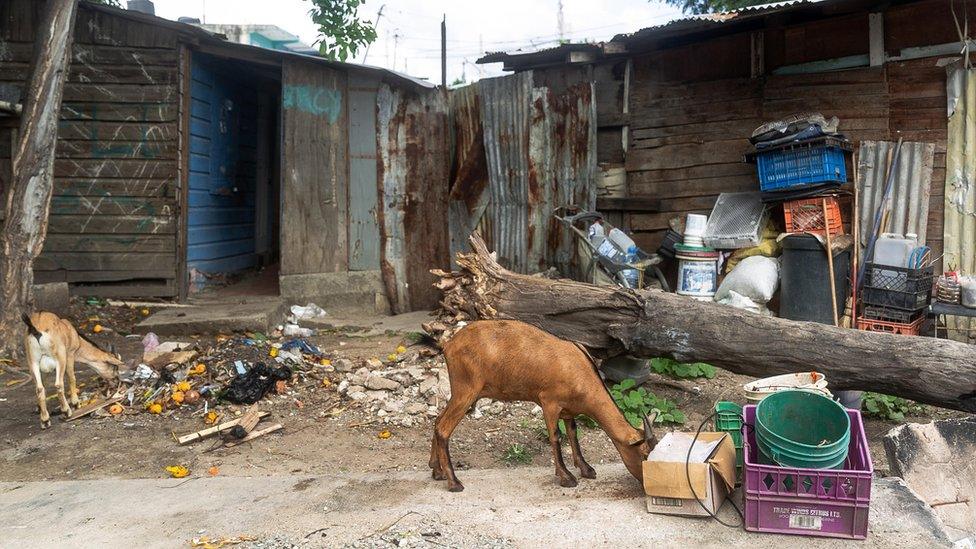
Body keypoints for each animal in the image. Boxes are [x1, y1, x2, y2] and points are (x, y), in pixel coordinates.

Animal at [428, 318, 652, 490]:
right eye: (643, 454)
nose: (646, 484)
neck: (581, 371)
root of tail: (448, 345)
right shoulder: (549, 402)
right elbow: (556, 436)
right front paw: (566, 477)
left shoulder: (569, 410)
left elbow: (573, 434)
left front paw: (586, 469)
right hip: (466, 389)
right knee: (443, 428)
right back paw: (454, 483)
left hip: (460, 392)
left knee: (438, 420)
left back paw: (437, 471)